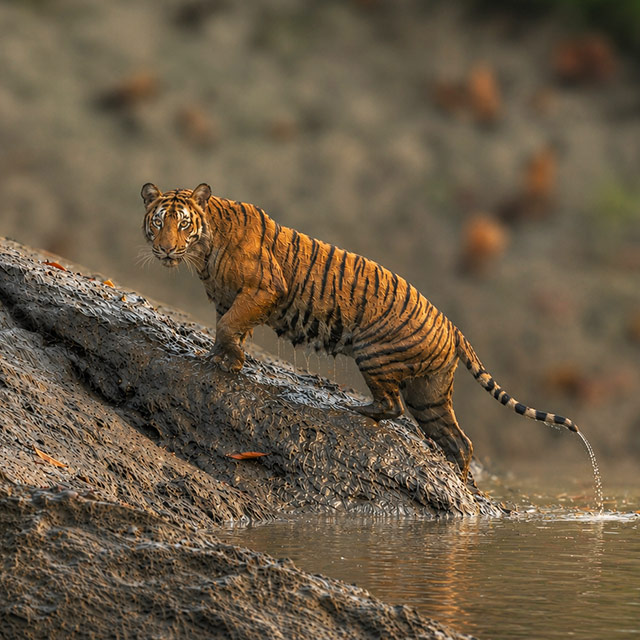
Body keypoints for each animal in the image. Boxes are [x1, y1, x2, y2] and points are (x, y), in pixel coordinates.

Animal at [141, 182, 579, 481]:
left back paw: (357, 409)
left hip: (375, 356)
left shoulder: (263, 290)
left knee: (391, 406)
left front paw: (227, 361)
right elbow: (228, 325)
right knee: (458, 439)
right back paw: (462, 481)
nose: (165, 249)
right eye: (158, 223)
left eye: (183, 224)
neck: (203, 251)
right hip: (430, 393)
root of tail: (453, 327)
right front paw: (221, 357)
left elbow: (230, 324)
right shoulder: (230, 297)